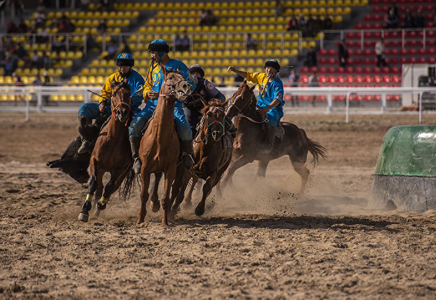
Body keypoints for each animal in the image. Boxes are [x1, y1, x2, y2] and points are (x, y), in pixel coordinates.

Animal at [78, 79, 133, 223]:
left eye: (128, 93)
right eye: (113, 94)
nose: (122, 112)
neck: (113, 138)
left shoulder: (119, 169)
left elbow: (109, 187)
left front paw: (100, 205)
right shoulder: (95, 162)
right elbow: (93, 184)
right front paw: (84, 210)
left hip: (121, 174)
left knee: (109, 189)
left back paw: (98, 209)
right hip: (101, 170)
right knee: (99, 187)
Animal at [135, 68, 192, 227]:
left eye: (183, 76)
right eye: (171, 77)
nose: (187, 86)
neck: (159, 137)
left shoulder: (171, 168)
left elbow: (165, 197)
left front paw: (165, 222)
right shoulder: (145, 168)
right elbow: (143, 194)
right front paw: (140, 219)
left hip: (179, 168)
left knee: (173, 187)